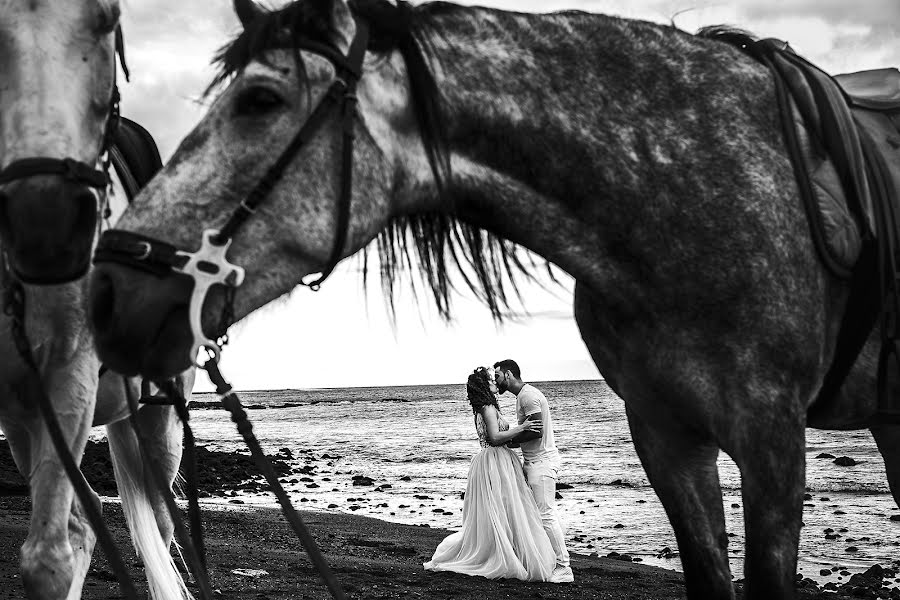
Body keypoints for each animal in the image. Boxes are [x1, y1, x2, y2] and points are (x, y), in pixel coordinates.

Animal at [0, 2, 195, 596]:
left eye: (108, 17)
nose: (47, 224)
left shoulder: (68, 374)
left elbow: (48, 563)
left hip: (159, 420)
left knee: (160, 526)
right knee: (84, 527)